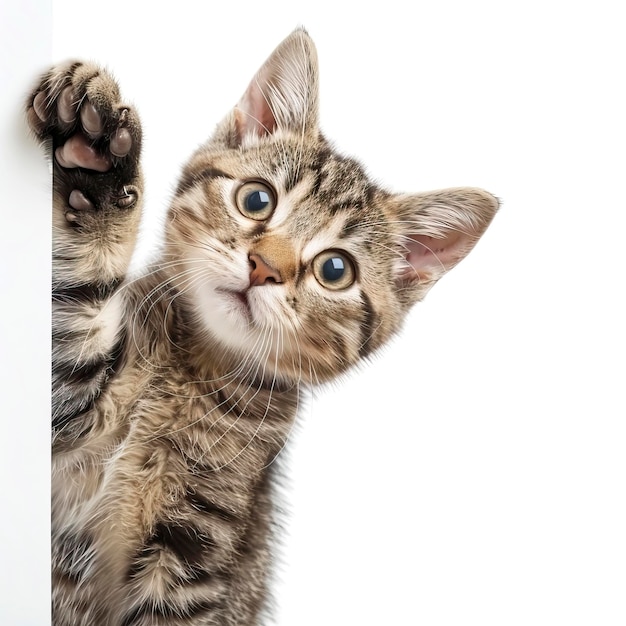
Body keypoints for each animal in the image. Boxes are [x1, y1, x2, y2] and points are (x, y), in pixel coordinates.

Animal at [28, 26, 498, 620]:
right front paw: (95, 162)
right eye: (257, 199)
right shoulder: (65, 411)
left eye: (335, 270)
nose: (263, 267)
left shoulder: (194, 550)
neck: (192, 370)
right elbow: (74, 317)